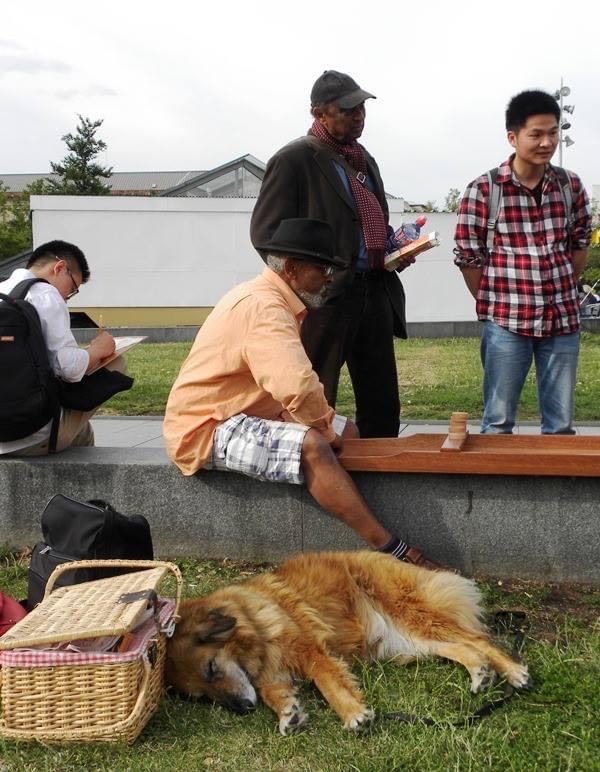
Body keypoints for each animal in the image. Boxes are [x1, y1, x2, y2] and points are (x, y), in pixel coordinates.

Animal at [165, 548, 528, 736]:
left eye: (211, 668)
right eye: (202, 697)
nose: (243, 710)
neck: (252, 621)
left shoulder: (310, 649)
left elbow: (329, 683)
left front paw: (353, 713)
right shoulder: (272, 674)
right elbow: (273, 693)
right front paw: (288, 713)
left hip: (409, 612)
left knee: (478, 638)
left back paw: (513, 671)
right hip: (405, 640)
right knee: (461, 646)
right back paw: (481, 672)